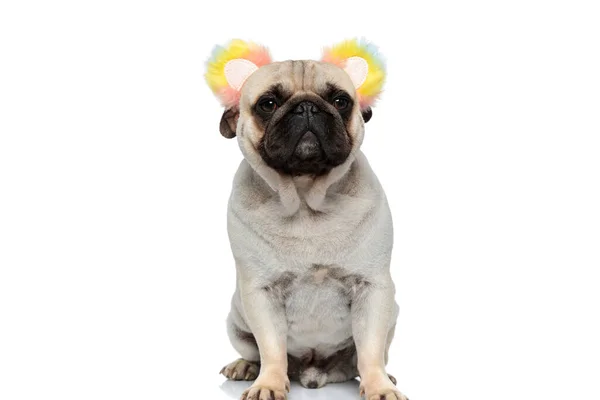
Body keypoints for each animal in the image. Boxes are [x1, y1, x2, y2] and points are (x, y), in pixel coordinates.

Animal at [206, 39, 408, 400]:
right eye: (268, 104)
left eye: (340, 101)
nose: (306, 108)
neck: (304, 198)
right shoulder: (260, 293)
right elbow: (271, 348)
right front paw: (269, 383)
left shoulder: (373, 289)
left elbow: (370, 349)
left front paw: (379, 386)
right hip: (235, 320)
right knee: (253, 351)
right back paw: (245, 367)